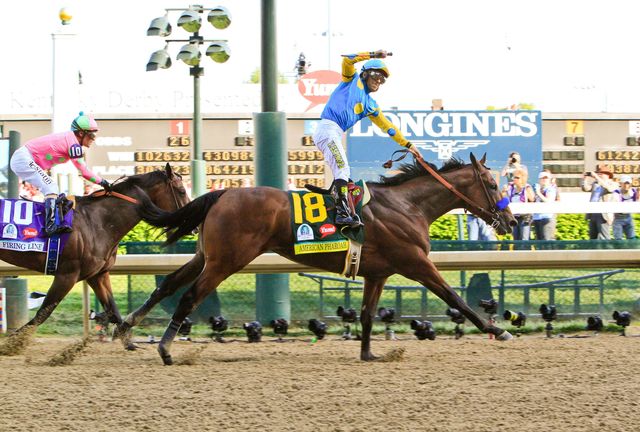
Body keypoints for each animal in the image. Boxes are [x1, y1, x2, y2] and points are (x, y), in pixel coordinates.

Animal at [0, 163, 190, 348]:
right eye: (182, 191)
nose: (193, 226)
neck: (98, 222)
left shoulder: (97, 274)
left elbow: (112, 309)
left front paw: (128, 342)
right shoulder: (67, 275)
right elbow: (43, 312)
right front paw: (12, 343)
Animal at [120, 154, 516, 362]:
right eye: (492, 184)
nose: (511, 220)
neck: (407, 206)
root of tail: (222, 194)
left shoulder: (378, 274)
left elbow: (368, 315)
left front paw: (369, 354)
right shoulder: (417, 263)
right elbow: (454, 298)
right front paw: (498, 329)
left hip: (208, 256)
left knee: (169, 284)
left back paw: (126, 328)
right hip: (225, 262)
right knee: (188, 295)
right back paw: (165, 348)